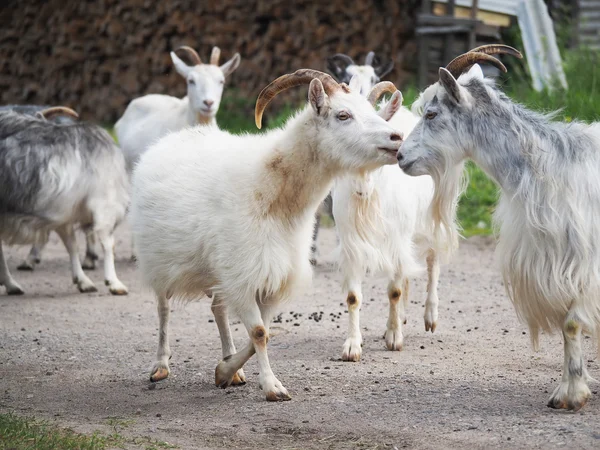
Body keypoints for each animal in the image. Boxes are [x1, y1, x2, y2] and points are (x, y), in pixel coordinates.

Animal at [0, 106, 129, 296]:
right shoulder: (104, 203)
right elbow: (107, 244)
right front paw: (114, 283)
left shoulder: (62, 210)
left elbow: (71, 244)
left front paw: (83, 281)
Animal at [131, 69, 404, 400]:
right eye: (343, 115)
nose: (397, 138)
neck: (272, 190)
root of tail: (173, 137)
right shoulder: (244, 274)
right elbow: (259, 332)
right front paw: (272, 387)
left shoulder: (271, 276)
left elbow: (262, 332)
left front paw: (225, 371)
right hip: (159, 261)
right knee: (163, 309)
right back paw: (160, 365)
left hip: (219, 268)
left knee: (217, 309)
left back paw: (230, 364)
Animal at [398, 45, 600, 412]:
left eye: (431, 114)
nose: (400, 156)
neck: (544, 167)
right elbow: (567, 326)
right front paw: (566, 390)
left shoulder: (583, 263)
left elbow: (572, 322)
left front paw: (572, 395)